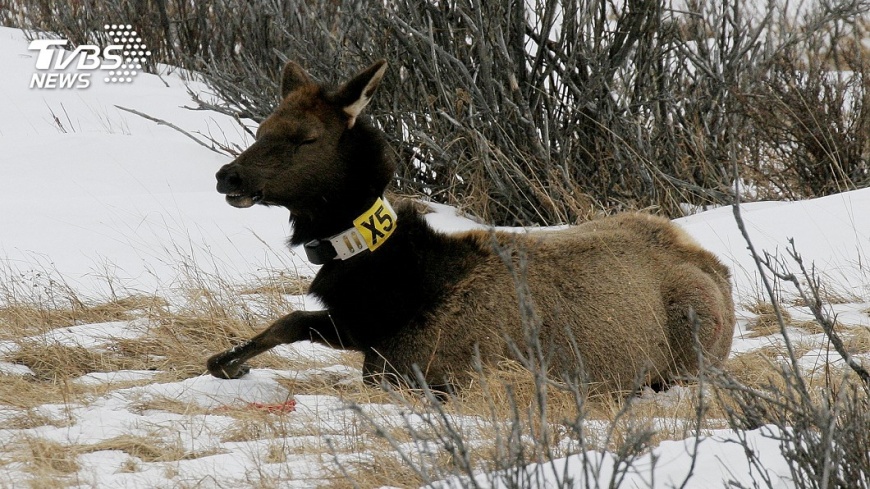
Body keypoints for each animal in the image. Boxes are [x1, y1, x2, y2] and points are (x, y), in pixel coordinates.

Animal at [206, 59, 735, 394]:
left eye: (305, 137)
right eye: (261, 128)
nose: (227, 175)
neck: (399, 290)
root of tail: (719, 269)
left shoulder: (434, 371)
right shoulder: (361, 331)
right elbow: (291, 320)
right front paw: (226, 362)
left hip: (693, 350)